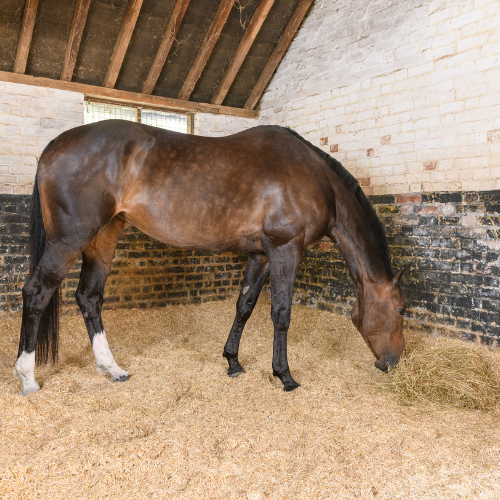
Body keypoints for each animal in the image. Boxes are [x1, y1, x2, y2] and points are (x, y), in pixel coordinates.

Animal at [13, 121, 410, 394]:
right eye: (403, 309)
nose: (394, 362)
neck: (315, 178)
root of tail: (54, 146)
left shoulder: (260, 254)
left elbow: (244, 306)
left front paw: (233, 361)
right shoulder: (285, 249)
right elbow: (281, 313)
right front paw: (284, 375)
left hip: (104, 238)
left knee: (89, 297)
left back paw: (113, 369)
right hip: (69, 240)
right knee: (36, 292)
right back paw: (28, 377)